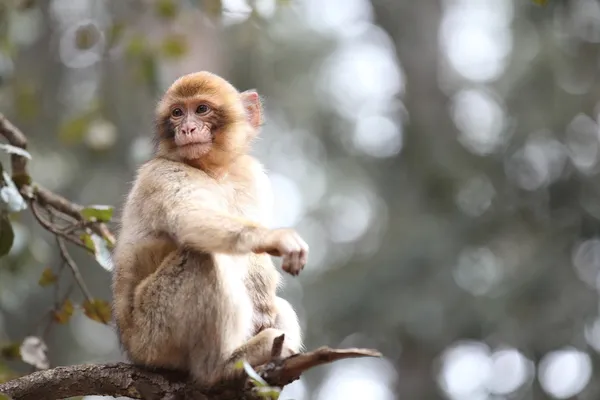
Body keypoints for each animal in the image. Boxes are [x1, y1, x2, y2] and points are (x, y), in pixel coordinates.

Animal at [110, 70, 310, 386]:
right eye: (177, 113)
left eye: (201, 109)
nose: (187, 128)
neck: (213, 172)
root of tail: (132, 349)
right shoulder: (163, 175)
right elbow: (191, 221)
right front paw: (278, 238)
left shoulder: (252, 175)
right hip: (153, 335)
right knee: (202, 257)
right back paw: (220, 366)